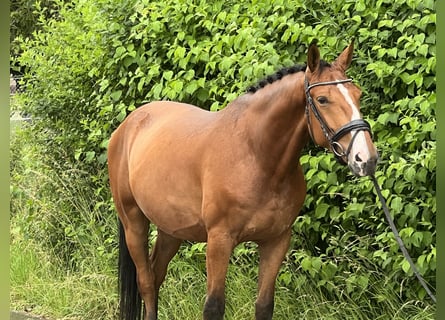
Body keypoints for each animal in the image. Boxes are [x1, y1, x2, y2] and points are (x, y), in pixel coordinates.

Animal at [107, 40, 378, 320]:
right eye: (322, 99)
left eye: (358, 95)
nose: (365, 158)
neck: (257, 156)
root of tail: (128, 125)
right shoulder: (219, 241)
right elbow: (214, 306)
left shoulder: (276, 241)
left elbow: (264, 305)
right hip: (134, 223)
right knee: (147, 283)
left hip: (171, 229)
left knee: (156, 274)